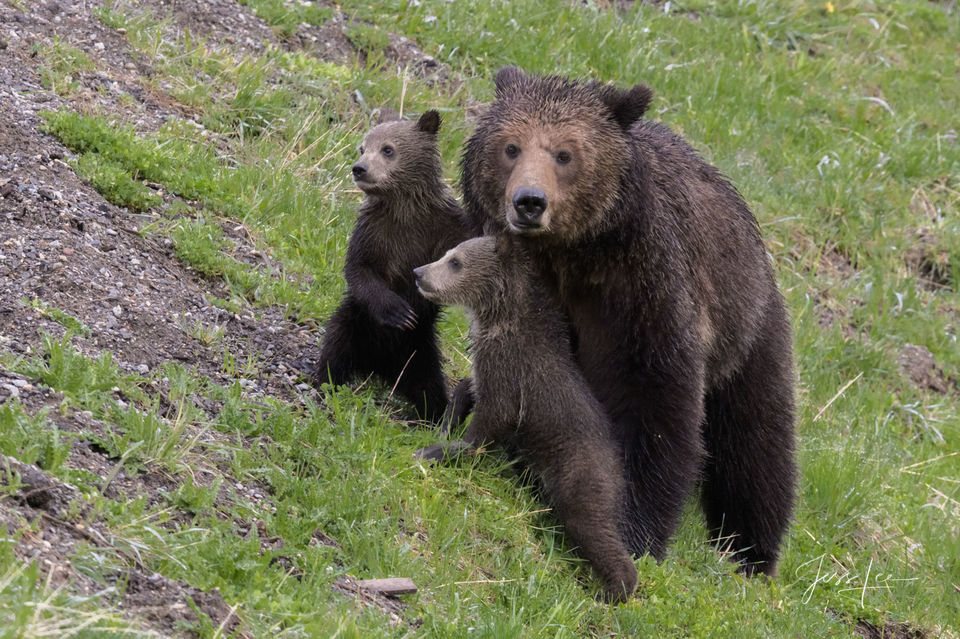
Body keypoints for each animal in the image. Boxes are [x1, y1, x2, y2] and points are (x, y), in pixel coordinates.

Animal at [316, 111, 470, 424]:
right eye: (362, 148)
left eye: (388, 149)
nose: (359, 169)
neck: (404, 209)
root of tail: (378, 367)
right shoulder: (373, 233)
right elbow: (359, 270)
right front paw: (399, 312)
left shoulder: (442, 228)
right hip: (356, 323)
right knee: (335, 345)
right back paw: (326, 381)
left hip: (420, 350)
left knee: (429, 386)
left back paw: (437, 413)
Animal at [412, 236, 636, 604]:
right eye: (447, 254)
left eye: (455, 261)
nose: (418, 272)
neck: (497, 318)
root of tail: (619, 473)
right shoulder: (489, 367)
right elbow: (469, 387)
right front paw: (445, 422)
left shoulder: (512, 373)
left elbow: (490, 422)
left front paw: (434, 451)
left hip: (580, 472)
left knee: (592, 524)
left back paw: (613, 589)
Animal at [458, 67, 796, 576]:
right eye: (511, 147)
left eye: (565, 153)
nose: (529, 202)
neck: (572, 253)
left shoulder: (642, 296)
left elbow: (654, 405)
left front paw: (635, 529)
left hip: (748, 336)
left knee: (756, 445)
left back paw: (751, 550)